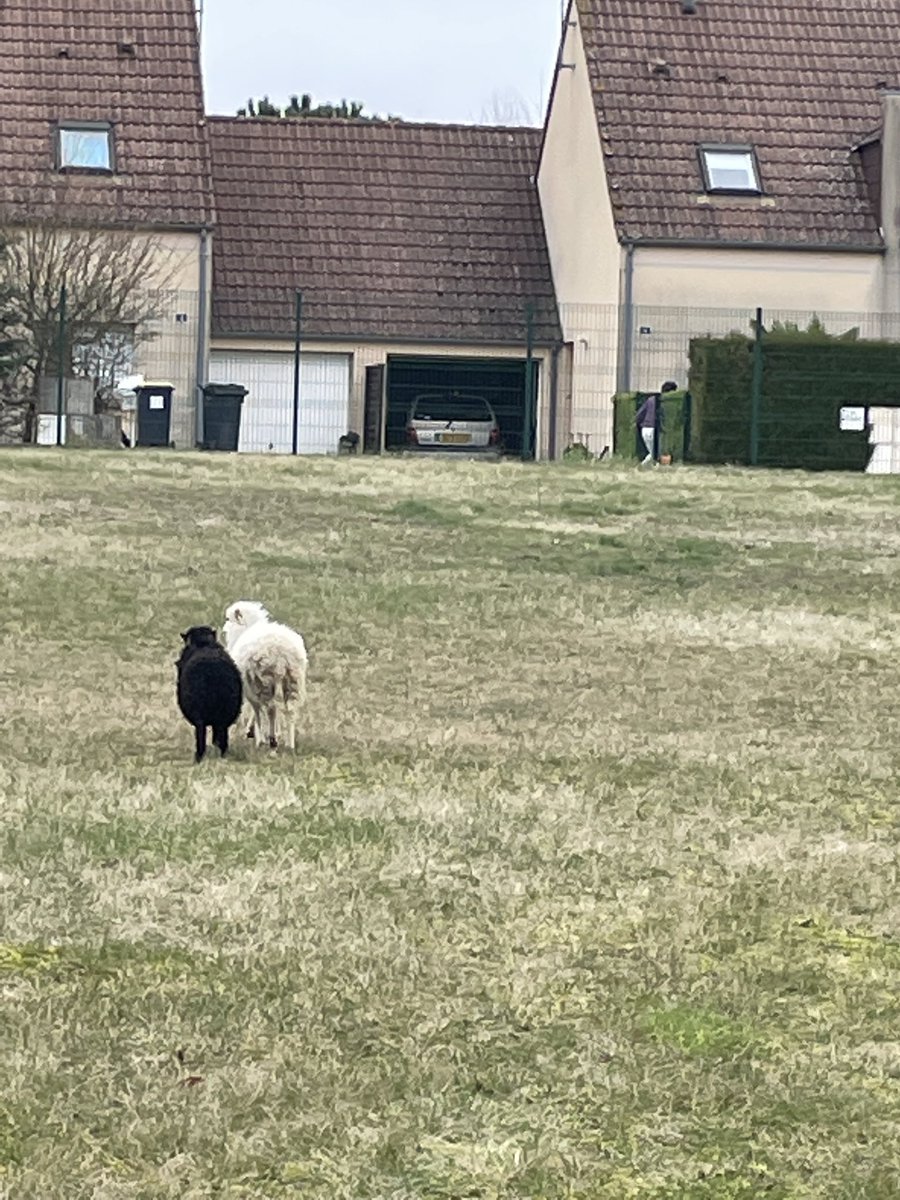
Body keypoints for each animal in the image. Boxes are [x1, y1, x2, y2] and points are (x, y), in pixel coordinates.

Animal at [175, 625, 243, 762]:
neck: (203, 644)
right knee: (222, 736)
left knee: (201, 734)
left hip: (199, 712)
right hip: (226, 711)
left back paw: (199, 757)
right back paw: (222, 755)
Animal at [222, 601, 308, 751]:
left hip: (263, 679)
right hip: (293, 680)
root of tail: (279, 650)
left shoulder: (249, 686)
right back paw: (290, 744)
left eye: (228, 619)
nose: (223, 629)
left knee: (270, 709)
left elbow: (256, 710)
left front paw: (257, 735)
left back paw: (272, 740)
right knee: (290, 710)